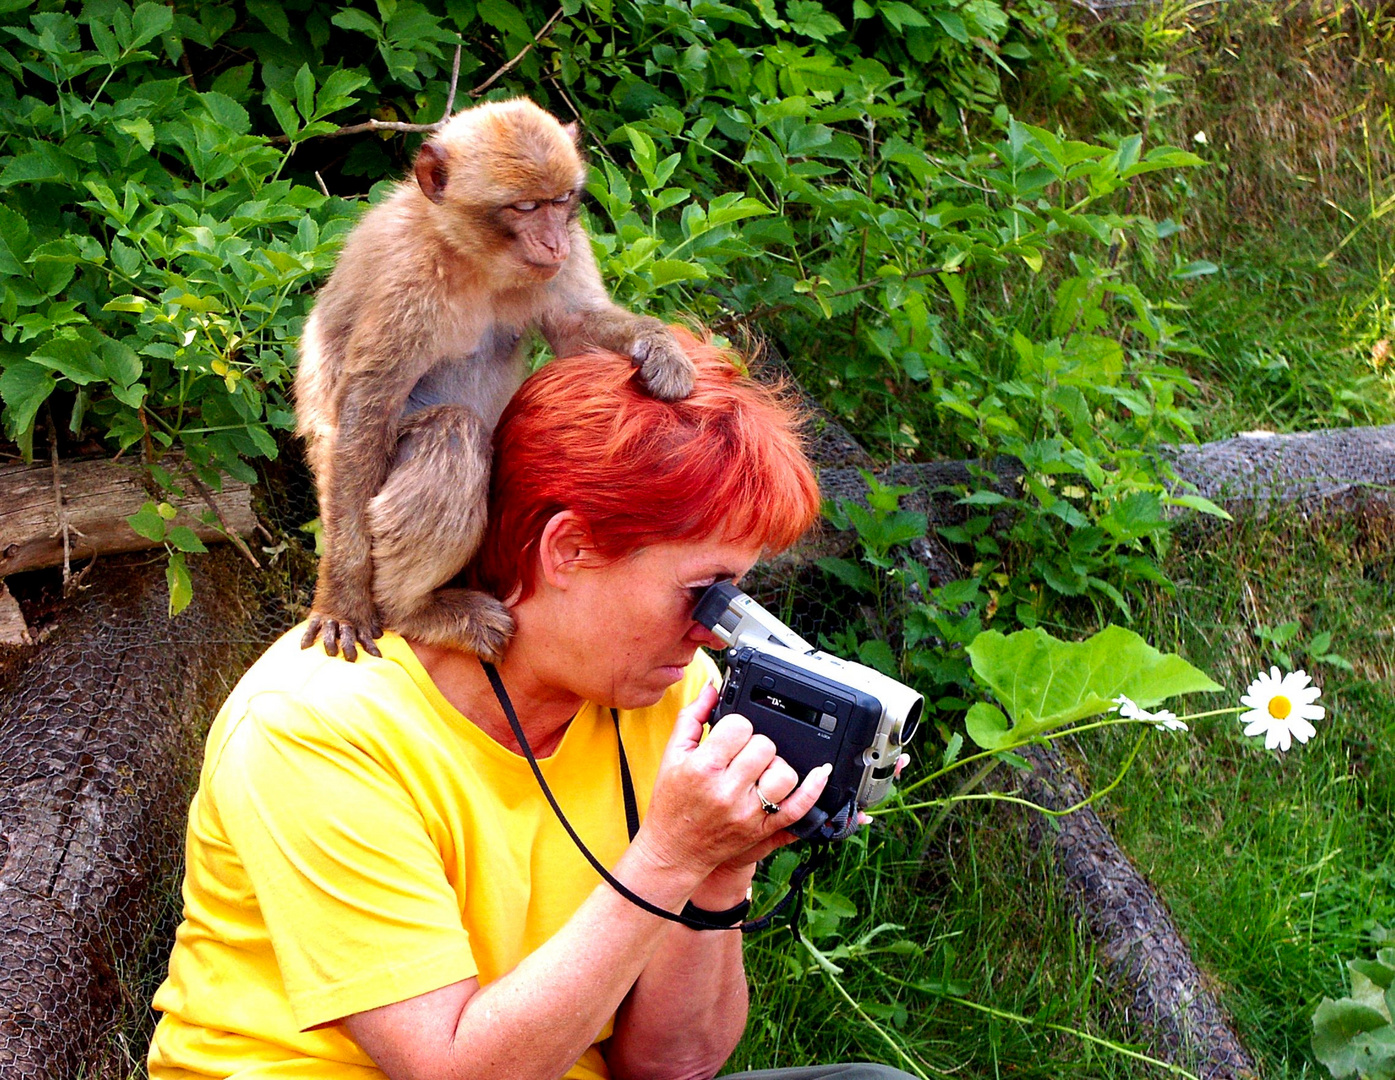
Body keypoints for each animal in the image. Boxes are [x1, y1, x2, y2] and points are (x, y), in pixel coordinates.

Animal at [292, 96, 691, 664]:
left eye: (560, 201)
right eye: (524, 208)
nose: (552, 242)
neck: (473, 258)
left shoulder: (573, 248)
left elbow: (575, 329)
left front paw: (659, 345)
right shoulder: (407, 282)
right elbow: (363, 417)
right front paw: (343, 598)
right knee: (451, 433)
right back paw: (413, 610)